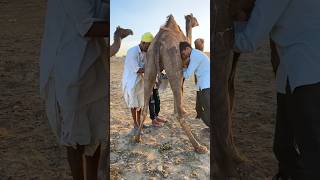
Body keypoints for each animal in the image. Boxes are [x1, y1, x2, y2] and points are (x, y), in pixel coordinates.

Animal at [132, 14, 208, 154]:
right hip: (173, 62)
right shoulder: (182, 68)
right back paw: (199, 147)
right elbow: (181, 90)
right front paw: (182, 110)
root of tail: (158, 43)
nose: (198, 23)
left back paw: (137, 138)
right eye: (194, 18)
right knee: (179, 113)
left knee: (144, 107)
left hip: (149, 63)